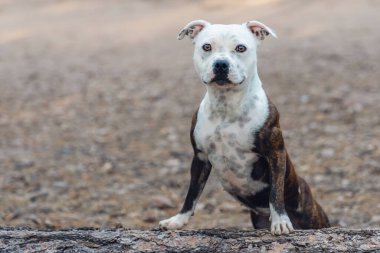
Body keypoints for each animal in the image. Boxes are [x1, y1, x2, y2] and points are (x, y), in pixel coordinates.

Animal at [158, 19, 330, 235]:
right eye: (206, 47)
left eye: (241, 48)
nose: (221, 64)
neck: (226, 107)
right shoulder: (200, 157)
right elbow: (192, 194)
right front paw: (178, 220)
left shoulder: (275, 153)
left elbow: (276, 192)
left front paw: (280, 221)